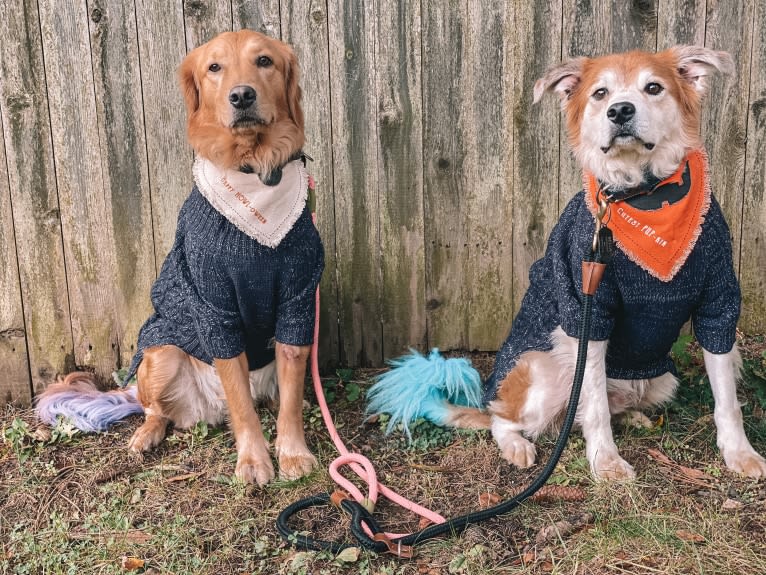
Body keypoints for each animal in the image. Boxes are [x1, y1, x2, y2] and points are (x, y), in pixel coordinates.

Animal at [36, 30, 320, 486]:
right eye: (214, 67)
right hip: (161, 352)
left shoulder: (297, 301)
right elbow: (241, 404)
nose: (242, 96)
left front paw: (292, 452)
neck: (252, 171)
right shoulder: (214, 308)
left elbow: (291, 396)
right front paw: (253, 460)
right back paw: (146, 435)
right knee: (155, 409)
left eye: (264, 61)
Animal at [368, 46, 764, 482]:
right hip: (547, 370)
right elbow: (593, 407)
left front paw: (739, 453)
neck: (642, 196)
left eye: (654, 88)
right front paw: (606, 461)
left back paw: (632, 418)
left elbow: (726, 398)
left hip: (660, 378)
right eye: (600, 93)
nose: (620, 111)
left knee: (588, 412)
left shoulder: (718, 305)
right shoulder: (587, 313)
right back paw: (517, 444)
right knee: (506, 418)